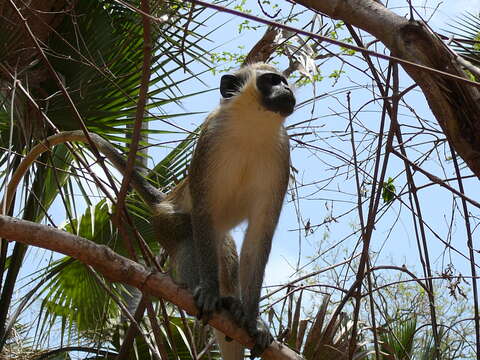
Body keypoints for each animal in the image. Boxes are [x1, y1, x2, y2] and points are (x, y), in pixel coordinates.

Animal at [3, 62, 294, 358]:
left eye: (284, 81)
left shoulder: (281, 154)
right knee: (190, 233)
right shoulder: (210, 138)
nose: (287, 89)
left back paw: (233, 304)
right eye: (271, 81)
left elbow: (259, 235)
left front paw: (251, 319)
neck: (251, 125)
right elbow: (202, 215)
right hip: (164, 221)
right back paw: (208, 293)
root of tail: (165, 200)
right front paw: (210, 293)